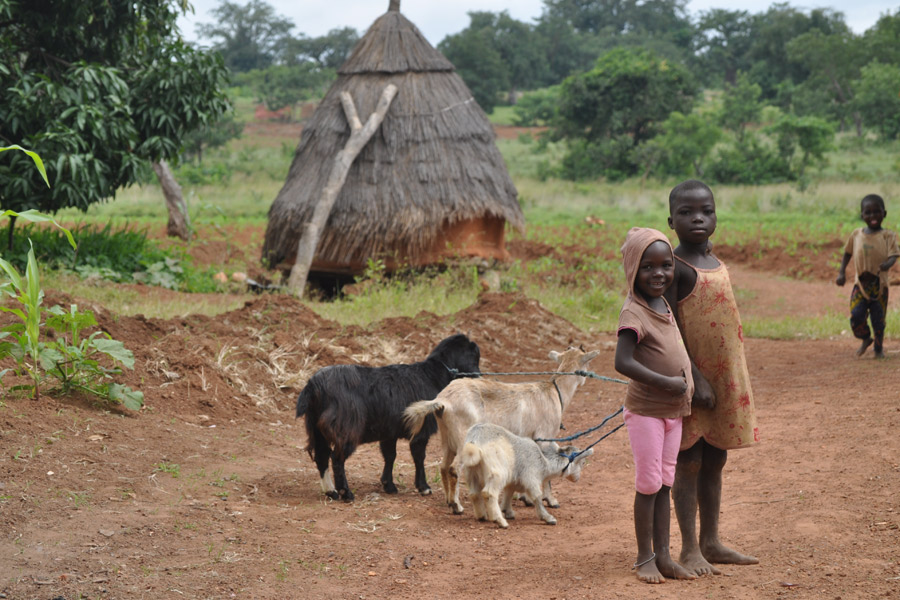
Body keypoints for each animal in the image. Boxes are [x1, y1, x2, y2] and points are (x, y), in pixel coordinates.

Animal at [294, 332, 478, 502]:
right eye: (475, 355)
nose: (477, 376)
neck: (432, 376)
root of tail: (313, 386)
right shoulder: (420, 430)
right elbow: (418, 457)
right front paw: (423, 487)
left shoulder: (389, 431)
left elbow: (390, 455)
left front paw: (388, 485)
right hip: (345, 429)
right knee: (337, 458)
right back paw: (346, 493)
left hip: (316, 429)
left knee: (322, 456)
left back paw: (331, 492)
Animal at [400, 346, 596, 516]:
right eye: (586, 364)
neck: (554, 393)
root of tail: (443, 401)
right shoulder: (545, 437)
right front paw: (551, 500)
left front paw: (524, 497)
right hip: (464, 437)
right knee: (454, 468)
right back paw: (457, 506)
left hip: (447, 437)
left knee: (443, 466)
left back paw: (449, 501)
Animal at [460, 420, 596, 528]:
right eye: (583, 462)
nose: (577, 479)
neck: (544, 462)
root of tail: (475, 441)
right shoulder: (531, 477)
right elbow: (537, 496)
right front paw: (548, 518)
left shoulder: (514, 480)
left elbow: (509, 493)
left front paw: (508, 511)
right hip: (497, 472)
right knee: (489, 493)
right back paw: (500, 521)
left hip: (471, 471)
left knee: (474, 493)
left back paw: (482, 516)